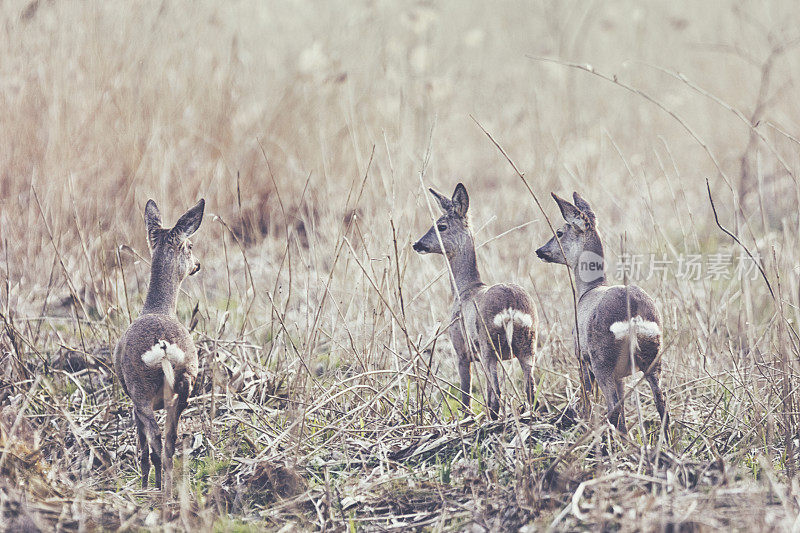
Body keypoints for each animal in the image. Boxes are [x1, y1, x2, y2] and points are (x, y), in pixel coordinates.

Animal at [114, 198, 205, 494]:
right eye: (190, 246)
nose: (197, 264)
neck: (156, 307)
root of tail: (163, 347)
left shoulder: (134, 401)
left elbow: (141, 445)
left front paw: (143, 483)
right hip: (185, 383)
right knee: (170, 440)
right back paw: (170, 487)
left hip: (139, 388)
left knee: (153, 441)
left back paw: (154, 487)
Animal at [412, 183, 536, 420]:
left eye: (441, 226)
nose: (417, 244)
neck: (465, 289)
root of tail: (511, 310)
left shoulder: (461, 348)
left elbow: (466, 395)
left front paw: (466, 419)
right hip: (528, 346)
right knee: (530, 390)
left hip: (489, 347)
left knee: (496, 395)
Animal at [536, 191, 668, 432]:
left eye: (559, 232)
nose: (540, 251)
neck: (588, 289)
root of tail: (632, 315)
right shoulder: (620, 374)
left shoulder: (581, 355)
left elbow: (587, 396)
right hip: (653, 356)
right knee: (661, 401)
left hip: (602, 360)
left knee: (614, 408)